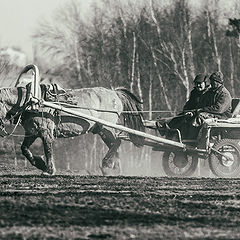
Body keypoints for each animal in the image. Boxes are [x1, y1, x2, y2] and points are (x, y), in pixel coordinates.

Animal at [0, 64, 144, 175]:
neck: (31, 100)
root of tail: (115, 93)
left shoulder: (46, 132)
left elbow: (48, 150)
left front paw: (49, 170)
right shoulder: (32, 132)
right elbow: (24, 149)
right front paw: (40, 163)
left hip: (106, 128)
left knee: (117, 142)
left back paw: (106, 165)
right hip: (102, 129)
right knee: (115, 145)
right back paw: (114, 170)